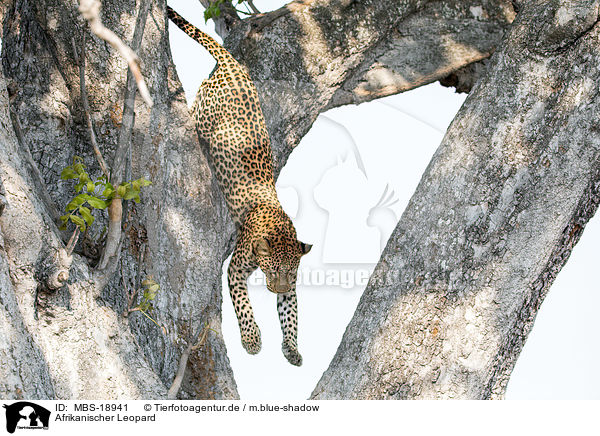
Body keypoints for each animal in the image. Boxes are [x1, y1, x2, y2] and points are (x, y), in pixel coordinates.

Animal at [166, 7, 312, 368]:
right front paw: (252, 339)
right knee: (194, 110)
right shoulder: (235, 269)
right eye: (273, 269)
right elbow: (244, 307)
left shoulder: (291, 287)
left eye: (291, 274)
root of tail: (233, 66)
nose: (277, 289)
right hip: (206, 114)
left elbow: (291, 316)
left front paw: (292, 348)